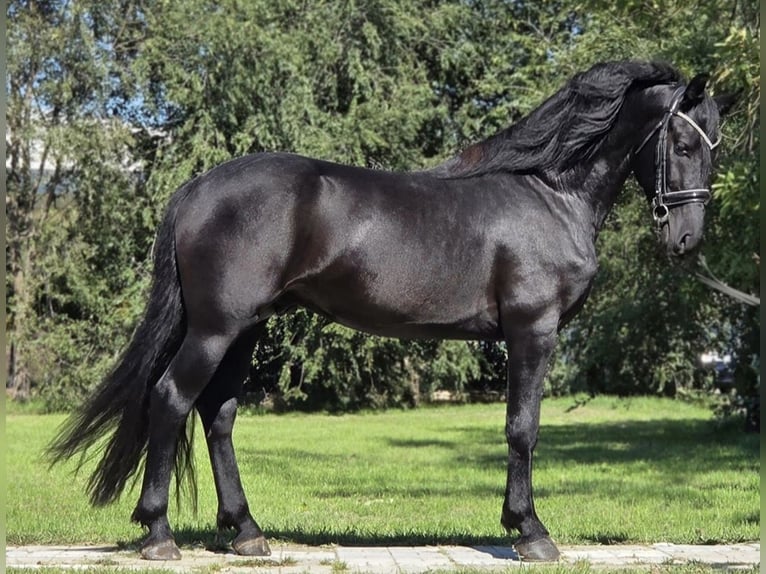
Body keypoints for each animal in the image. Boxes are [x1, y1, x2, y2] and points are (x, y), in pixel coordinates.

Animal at [48, 60, 735, 562]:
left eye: (716, 147)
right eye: (681, 141)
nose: (687, 240)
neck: (550, 192)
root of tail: (196, 188)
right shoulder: (531, 331)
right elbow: (523, 428)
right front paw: (530, 531)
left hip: (245, 330)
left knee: (218, 414)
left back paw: (246, 532)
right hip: (216, 329)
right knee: (171, 399)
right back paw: (160, 535)